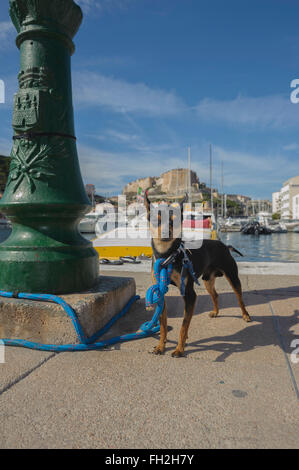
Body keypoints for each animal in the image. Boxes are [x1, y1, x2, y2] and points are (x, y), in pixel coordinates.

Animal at [145, 189, 251, 358]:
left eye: (175, 221)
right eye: (156, 220)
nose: (166, 232)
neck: (167, 256)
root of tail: (224, 245)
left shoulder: (189, 294)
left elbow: (184, 325)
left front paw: (180, 349)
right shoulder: (159, 292)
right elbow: (163, 323)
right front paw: (161, 346)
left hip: (232, 276)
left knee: (239, 298)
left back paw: (246, 315)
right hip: (208, 280)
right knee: (215, 295)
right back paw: (215, 312)